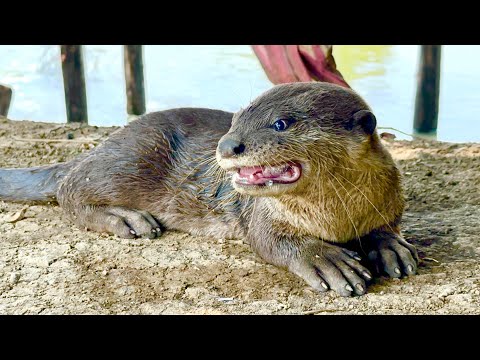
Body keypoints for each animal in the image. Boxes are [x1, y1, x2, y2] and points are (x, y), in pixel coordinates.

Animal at [0, 83, 416, 296]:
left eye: (281, 123)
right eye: (237, 119)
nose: (227, 144)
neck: (336, 216)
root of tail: (104, 144)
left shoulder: (390, 198)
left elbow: (386, 227)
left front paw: (391, 246)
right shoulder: (262, 215)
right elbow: (272, 241)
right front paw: (325, 259)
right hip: (133, 157)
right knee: (69, 188)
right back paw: (127, 220)